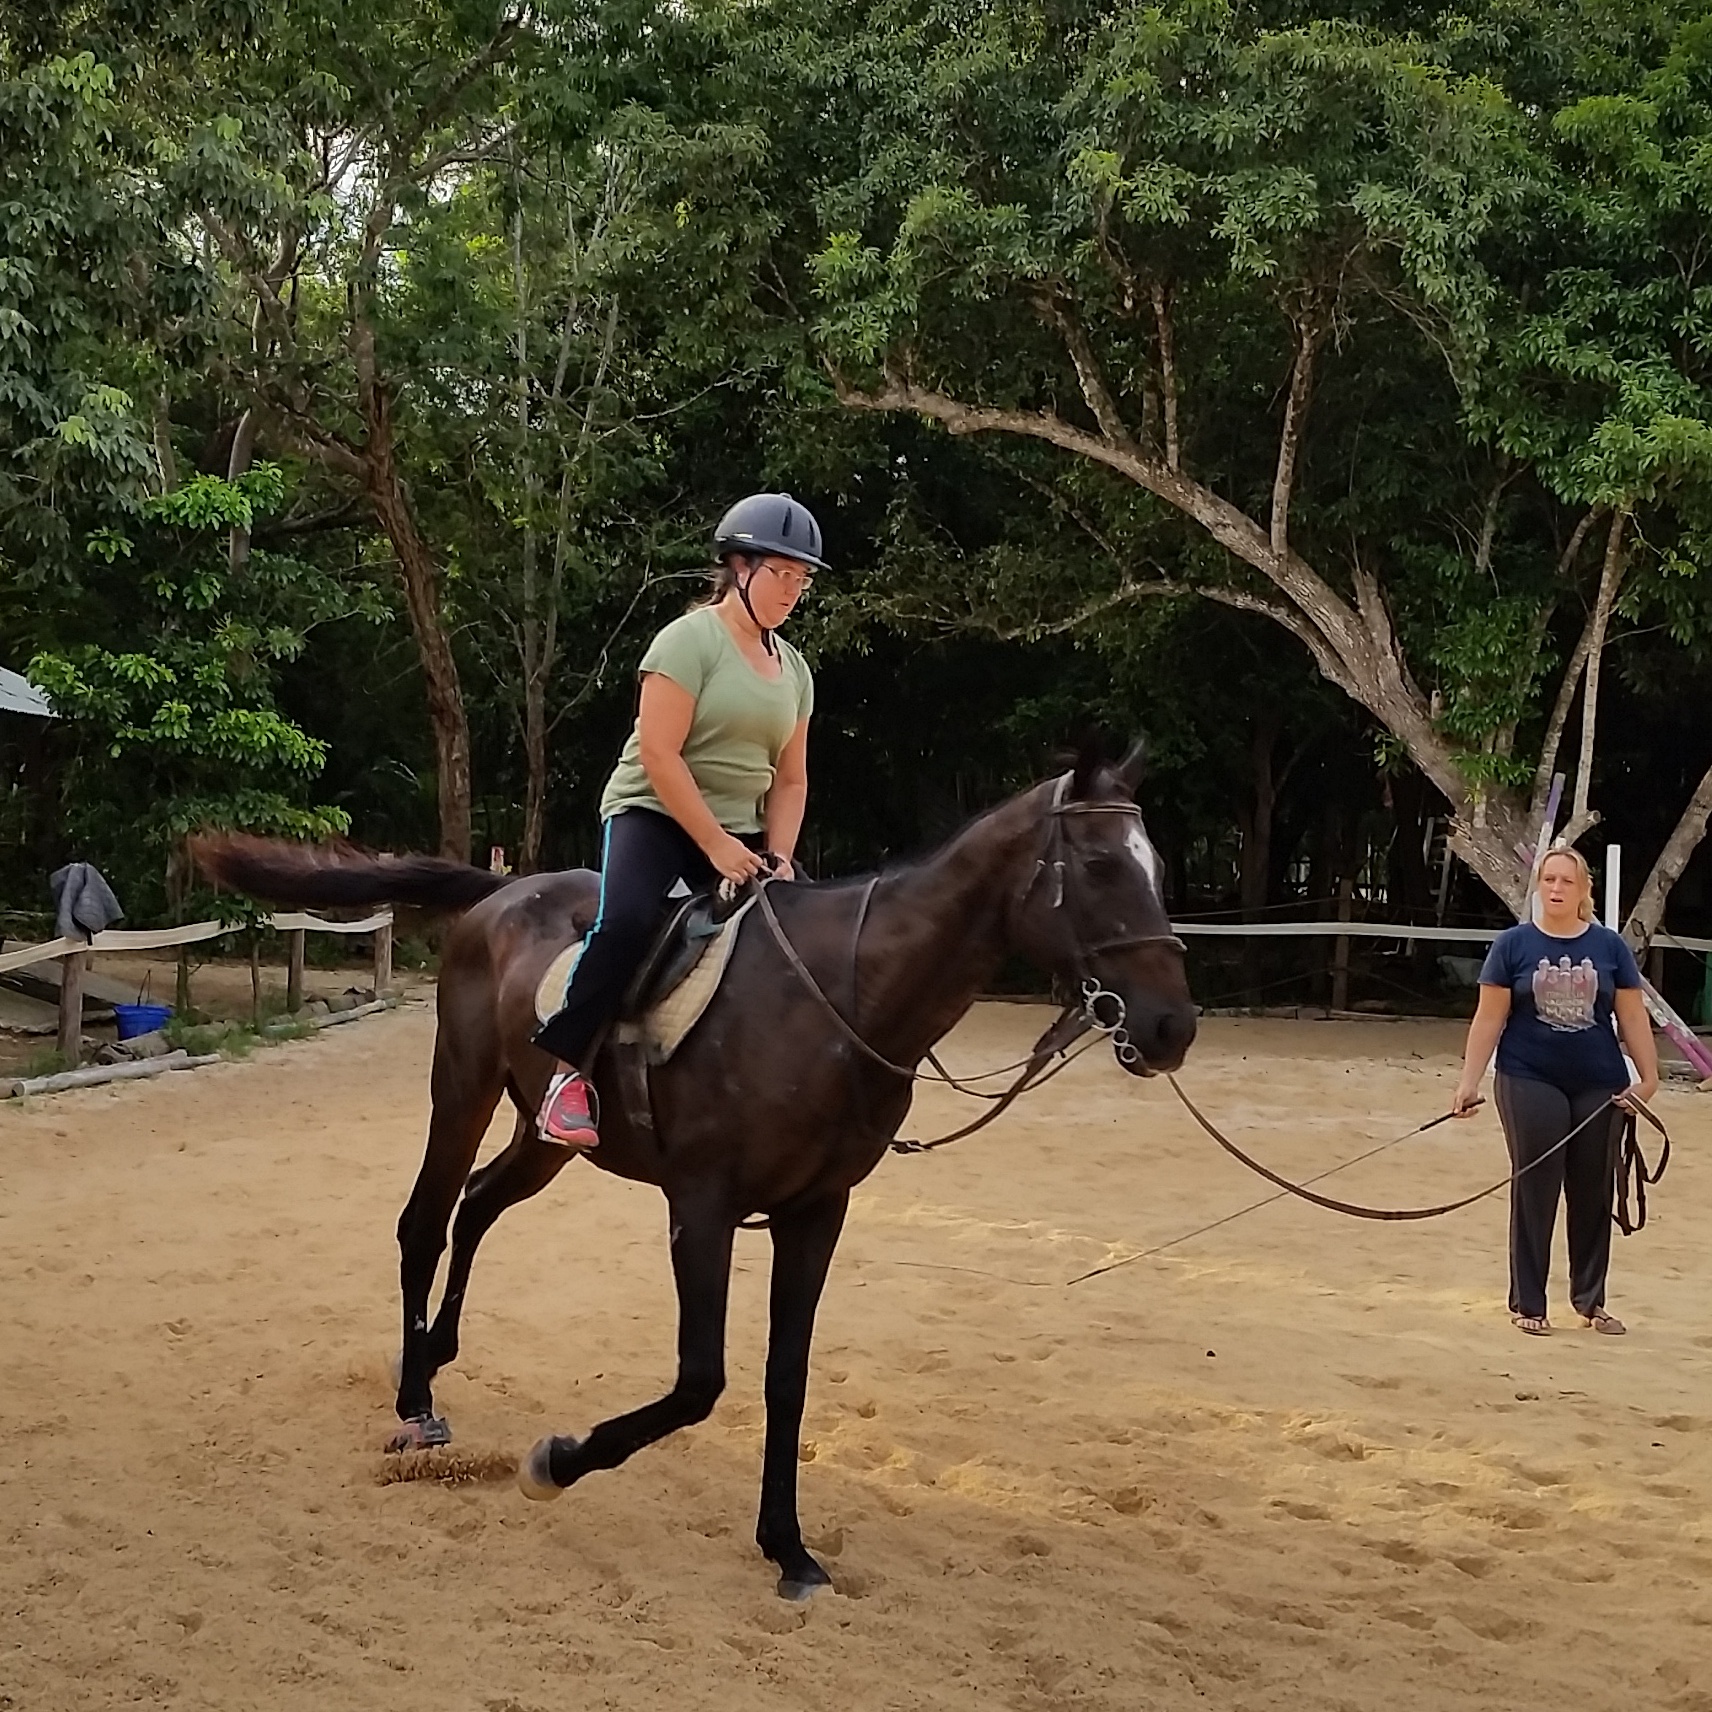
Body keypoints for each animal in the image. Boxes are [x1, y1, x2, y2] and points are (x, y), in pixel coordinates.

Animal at [196, 743, 1191, 1595]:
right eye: (1101, 867)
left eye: (1156, 867)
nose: (1172, 1026)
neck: (838, 997)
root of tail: (506, 892)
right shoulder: (702, 1207)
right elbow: (700, 1381)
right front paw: (555, 1462)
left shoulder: (816, 1211)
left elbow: (785, 1379)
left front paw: (789, 1549)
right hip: (462, 1089)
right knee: (424, 1223)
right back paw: (414, 1403)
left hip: (547, 1139)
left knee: (476, 1208)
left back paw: (438, 1355)